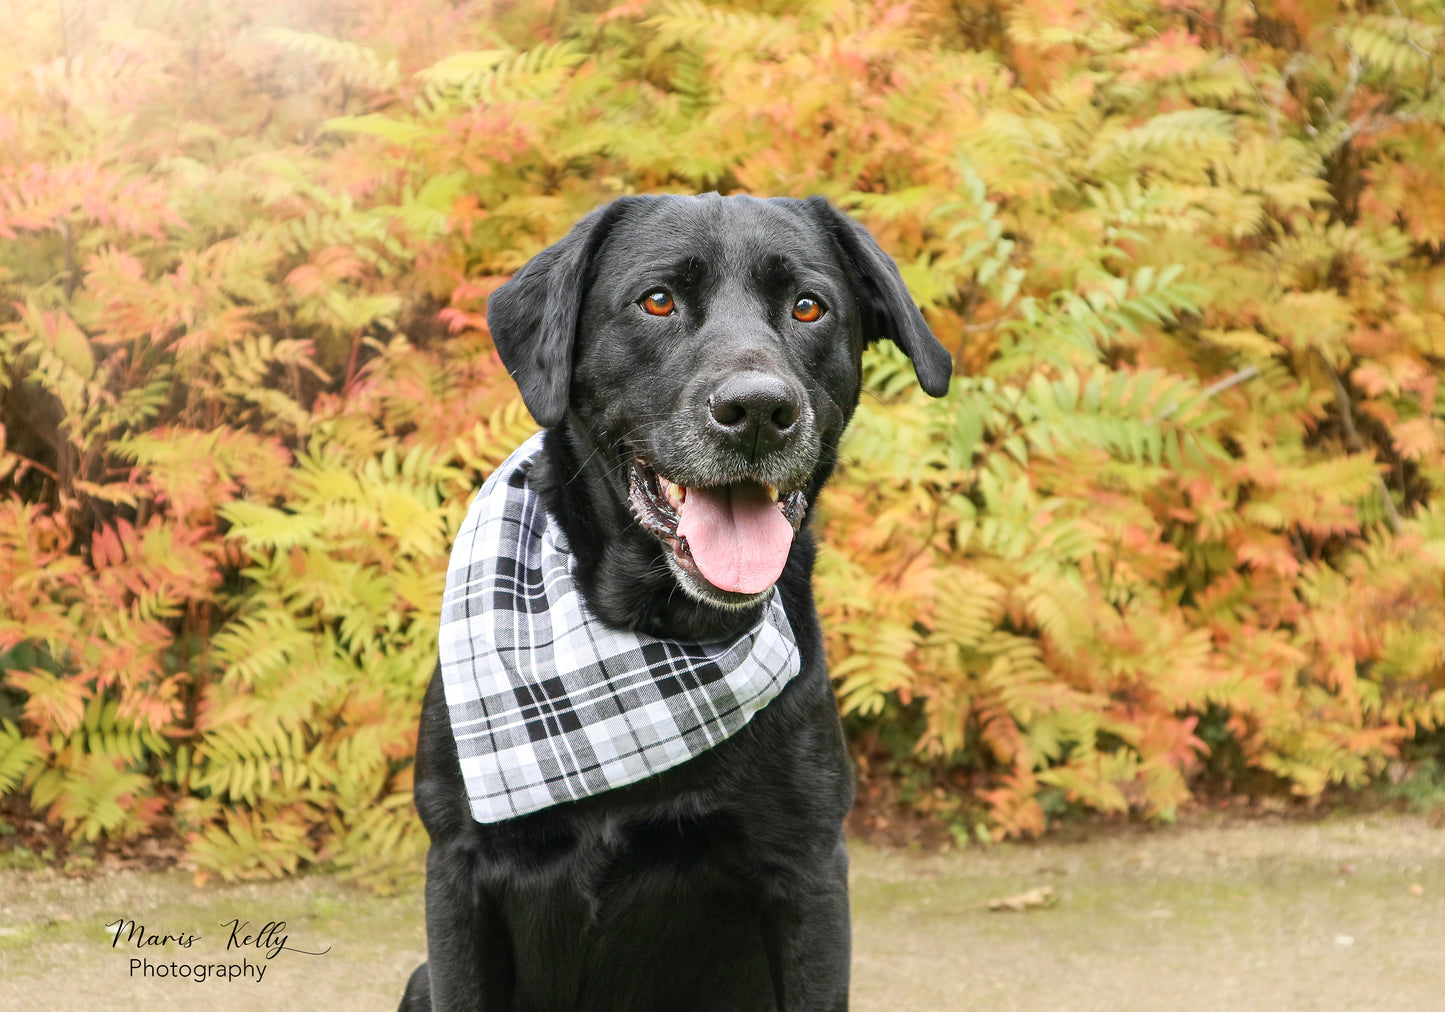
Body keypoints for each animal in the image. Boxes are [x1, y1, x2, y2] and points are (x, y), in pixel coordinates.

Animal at [401, 192, 953, 1011]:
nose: (757, 411)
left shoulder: (809, 869)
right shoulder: (458, 868)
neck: (652, 632)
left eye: (808, 305)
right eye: (657, 301)